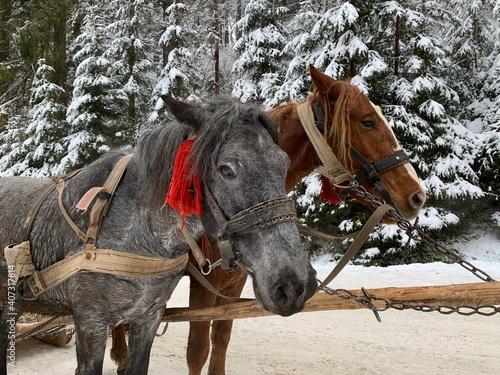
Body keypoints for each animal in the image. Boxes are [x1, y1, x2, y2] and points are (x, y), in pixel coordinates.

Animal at [110, 66, 426, 374]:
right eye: (367, 122)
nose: (417, 196)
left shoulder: (233, 285)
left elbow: (220, 341)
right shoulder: (203, 286)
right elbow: (197, 352)